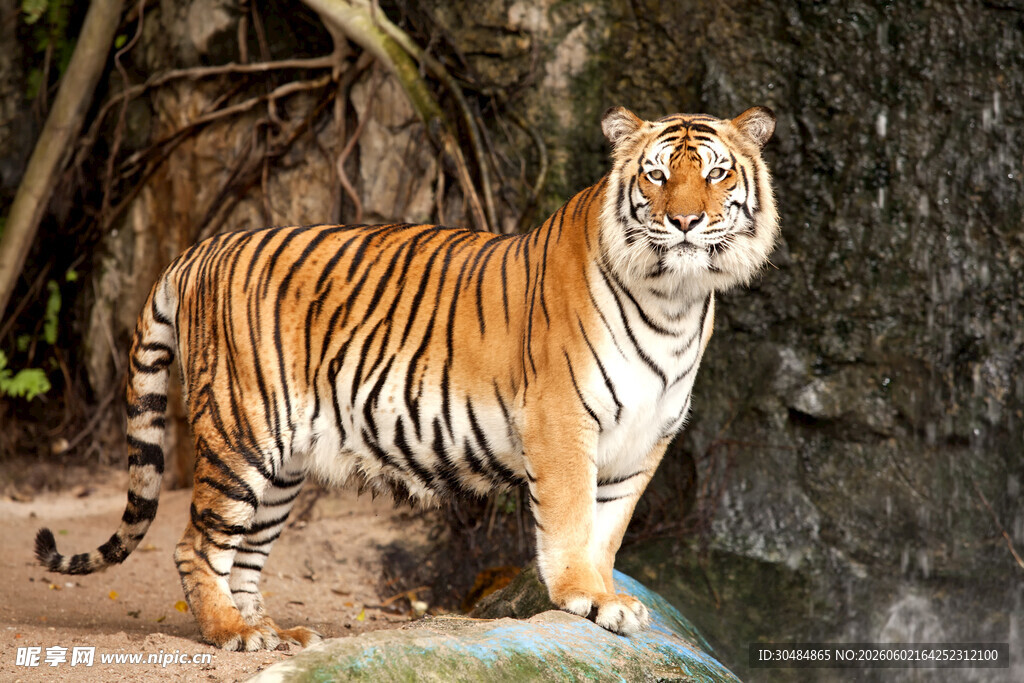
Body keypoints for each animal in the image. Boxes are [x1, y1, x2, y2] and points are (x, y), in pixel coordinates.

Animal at [35, 105, 778, 651]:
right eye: (655, 176)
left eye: (717, 174)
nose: (685, 221)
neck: (676, 299)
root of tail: (199, 249)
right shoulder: (563, 419)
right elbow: (570, 519)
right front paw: (585, 597)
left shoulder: (645, 437)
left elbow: (608, 527)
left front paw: (606, 597)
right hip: (241, 431)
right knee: (196, 546)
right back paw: (230, 634)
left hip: (283, 466)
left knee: (244, 554)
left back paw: (270, 631)